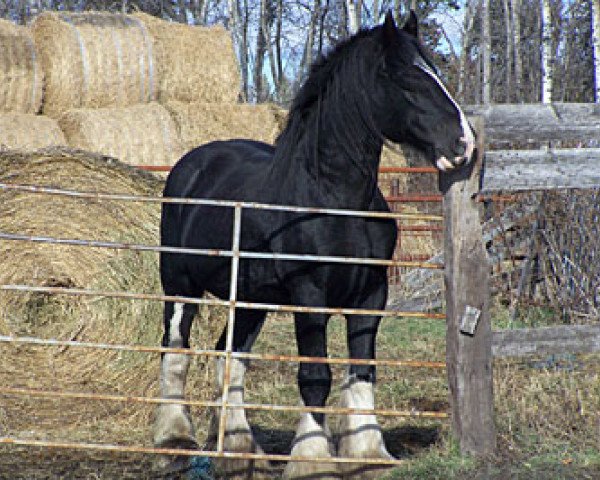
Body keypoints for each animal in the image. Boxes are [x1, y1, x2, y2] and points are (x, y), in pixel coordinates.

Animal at [155, 12, 474, 480]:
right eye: (406, 79)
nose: (463, 144)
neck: (333, 199)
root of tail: (190, 165)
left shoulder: (371, 294)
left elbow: (362, 370)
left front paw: (367, 454)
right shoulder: (310, 295)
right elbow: (315, 376)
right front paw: (312, 459)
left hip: (250, 299)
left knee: (229, 356)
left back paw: (239, 451)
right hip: (180, 285)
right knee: (176, 349)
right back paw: (174, 441)